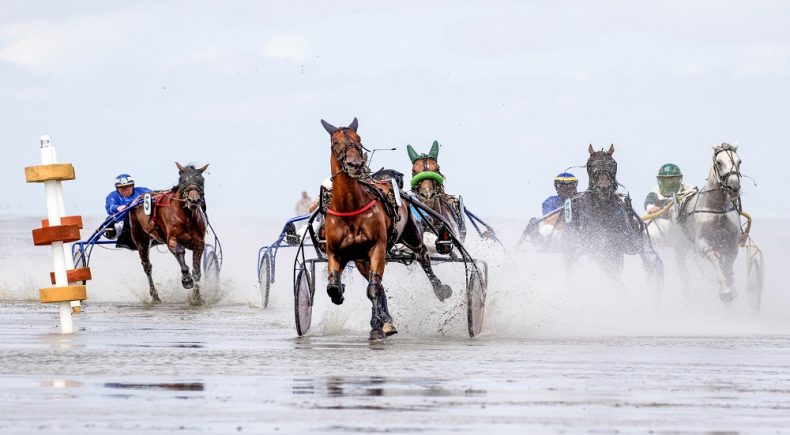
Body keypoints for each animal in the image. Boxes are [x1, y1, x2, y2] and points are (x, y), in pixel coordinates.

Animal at [127, 163, 207, 304]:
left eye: (201, 180)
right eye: (182, 180)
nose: (193, 200)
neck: (187, 216)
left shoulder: (199, 242)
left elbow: (197, 271)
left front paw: (197, 297)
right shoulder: (172, 240)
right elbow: (180, 252)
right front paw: (187, 279)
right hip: (141, 240)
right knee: (147, 266)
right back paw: (155, 295)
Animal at [322, 118, 454, 340]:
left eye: (359, 139)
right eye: (334, 143)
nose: (355, 165)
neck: (350, 206)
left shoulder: (377, 247)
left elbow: (373, 289)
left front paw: (377, 328)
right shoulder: (336, 252)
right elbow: (333, 286)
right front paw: (340, 293)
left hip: (410, 236)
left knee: (423, 256)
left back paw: (440, 289)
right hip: (362, 260)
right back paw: (387, 320)